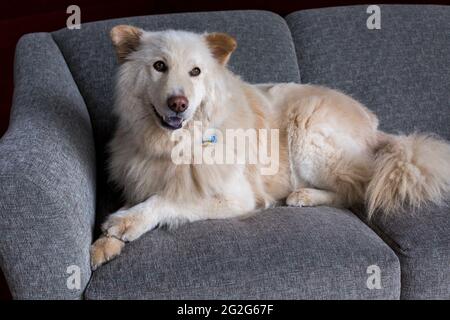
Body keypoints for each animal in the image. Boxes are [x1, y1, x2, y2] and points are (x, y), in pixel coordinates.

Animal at [89, 26, 448, 268]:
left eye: (195, 72)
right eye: (159, 66)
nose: (179, 104)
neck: (174, 145)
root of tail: (376, 128)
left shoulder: (234, 198)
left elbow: (168, 200)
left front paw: (126, 223)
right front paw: (103, 245)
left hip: (309, 128)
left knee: (356, 189)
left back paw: (304, 196)